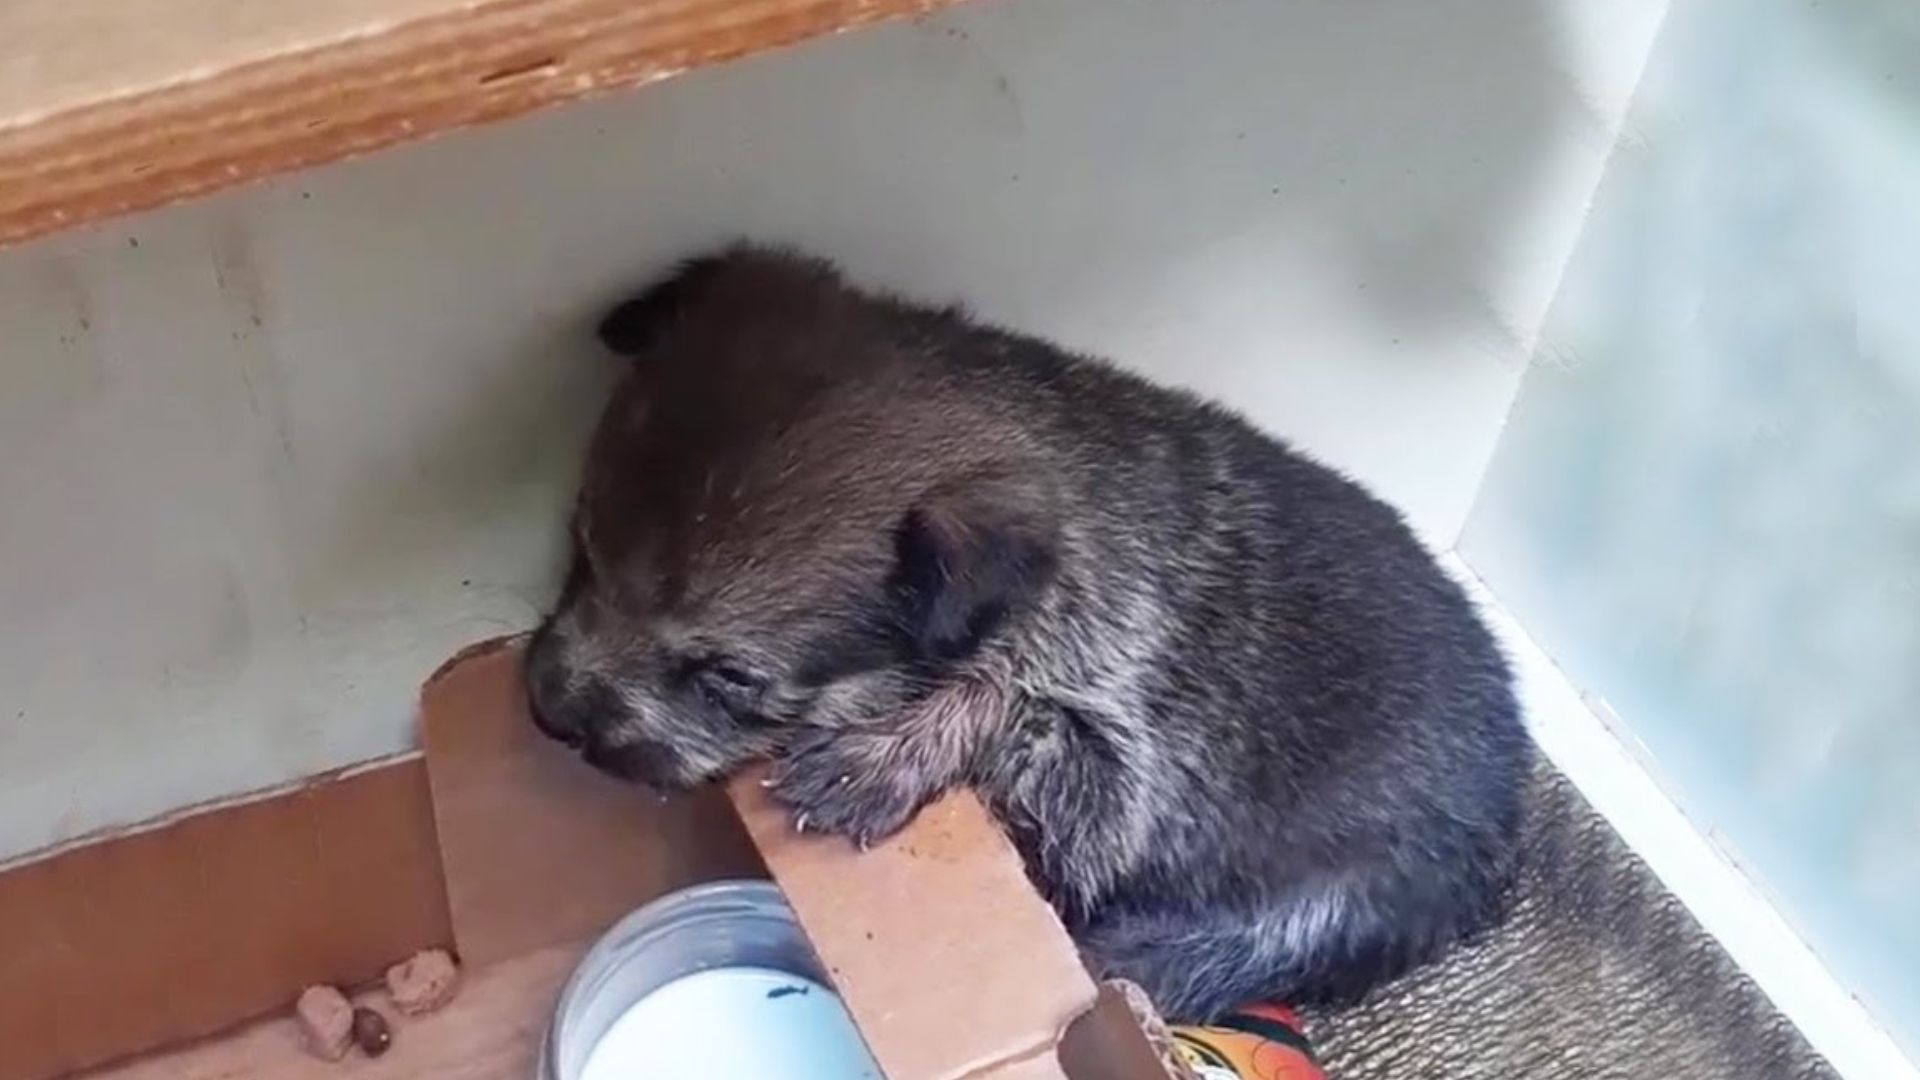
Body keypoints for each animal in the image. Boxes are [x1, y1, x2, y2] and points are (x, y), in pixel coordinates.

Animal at [526, 244, 1528, 1014]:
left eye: (728, 679)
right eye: (579, 548)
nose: (547, 711)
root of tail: (1514, 799)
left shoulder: (1108, 773)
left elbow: (1008, 706)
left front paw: (877, 761)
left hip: (1328, 901)